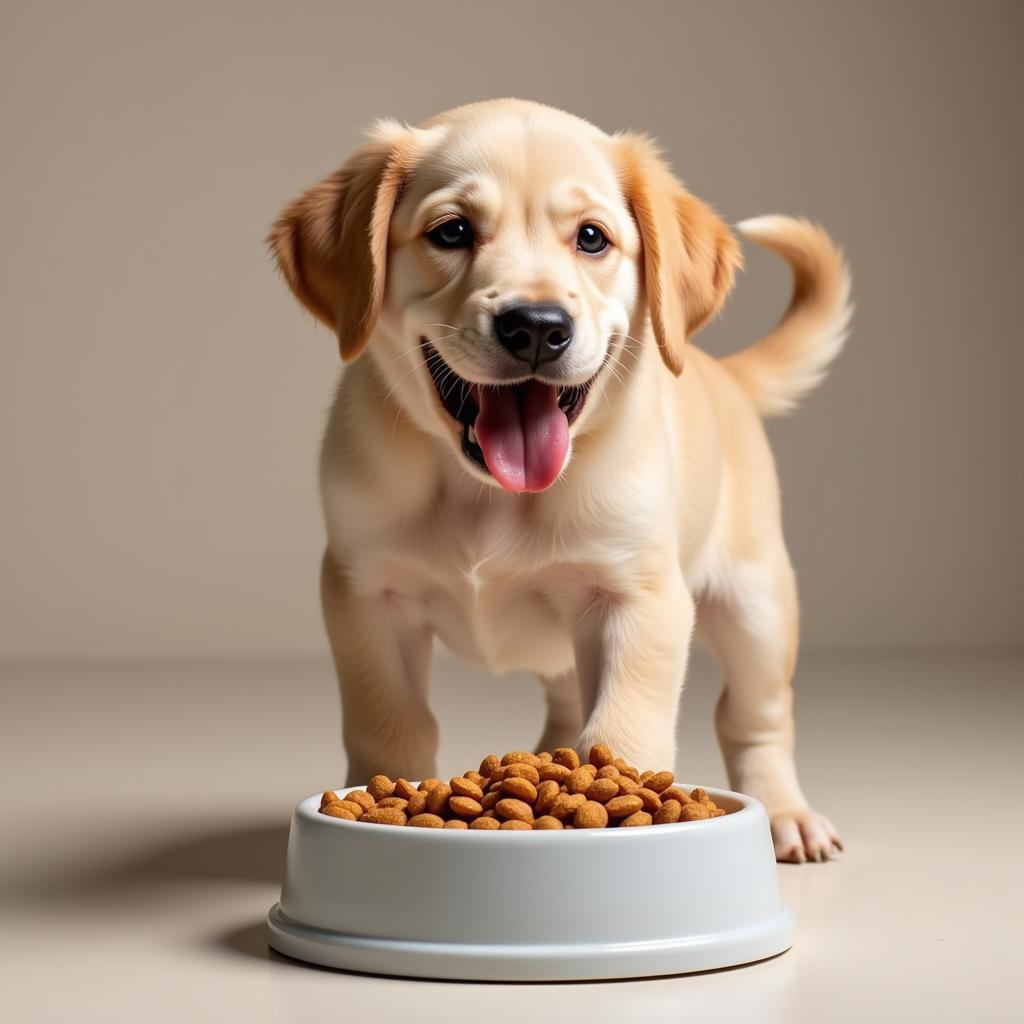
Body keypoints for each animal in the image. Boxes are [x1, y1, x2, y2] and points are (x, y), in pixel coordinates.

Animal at [270, 97, 847, 864]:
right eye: (451, 231)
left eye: (593, 239)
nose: (538, 326)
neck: (487, 493)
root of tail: (720, 372)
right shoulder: (364, 592)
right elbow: (391, 720)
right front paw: (378, 800)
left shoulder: (639, 598)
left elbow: (622, 731)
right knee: (570, 703)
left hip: (757, 603)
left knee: (755, 717)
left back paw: (786, 814)